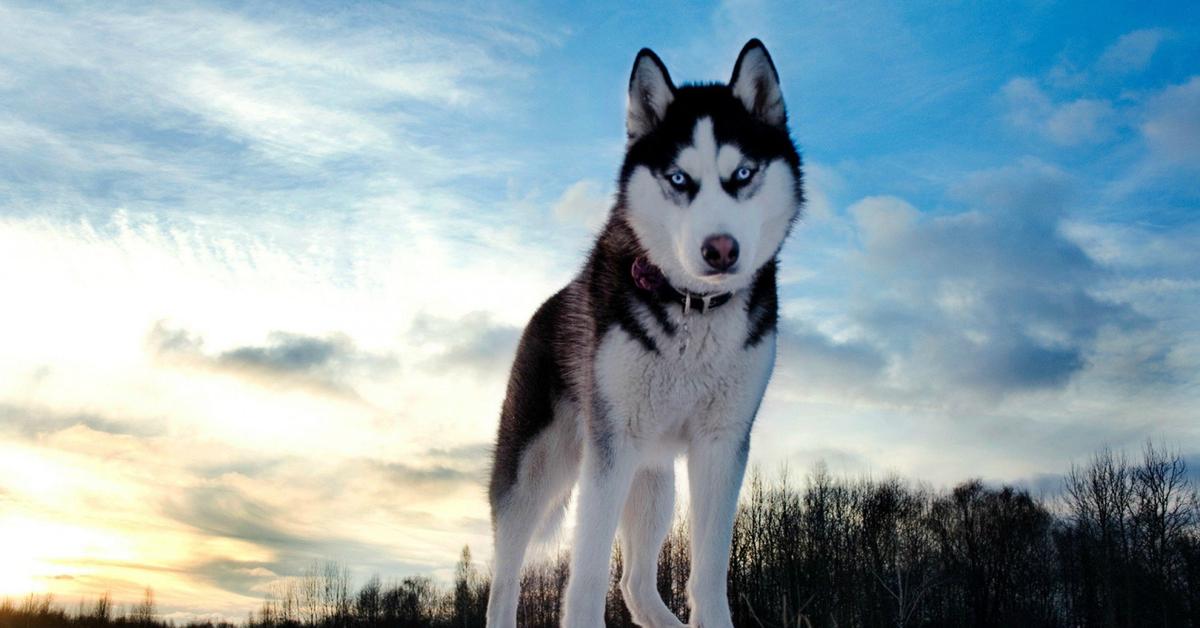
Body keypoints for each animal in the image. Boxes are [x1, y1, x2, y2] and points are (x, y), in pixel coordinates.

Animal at [482, 40, 801, 628]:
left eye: (743, 173)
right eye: (678, 179)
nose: (720, 249)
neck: (693, 309)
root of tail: (545, 306)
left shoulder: (721, 444)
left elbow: (708, 573)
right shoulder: (611, 447)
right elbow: (584, 577)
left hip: (654, 481)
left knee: (633, 582)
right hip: (535, 472)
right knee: (505, 578)